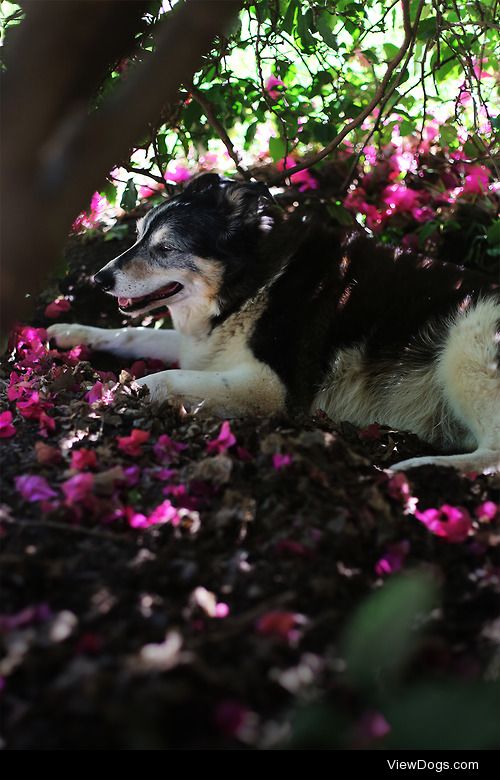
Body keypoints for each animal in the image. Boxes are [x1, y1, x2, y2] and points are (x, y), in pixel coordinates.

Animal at [49, 174, 500, 472]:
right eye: (139, 235)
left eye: (166, 249)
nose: (100, 279)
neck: (254, 282)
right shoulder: (201, 345)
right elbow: (133, 333)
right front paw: (71, 333)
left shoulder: (273, 388)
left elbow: (162, 379)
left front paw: (111, 395)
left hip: (468, 342)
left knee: (492, 457)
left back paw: (417, 469)